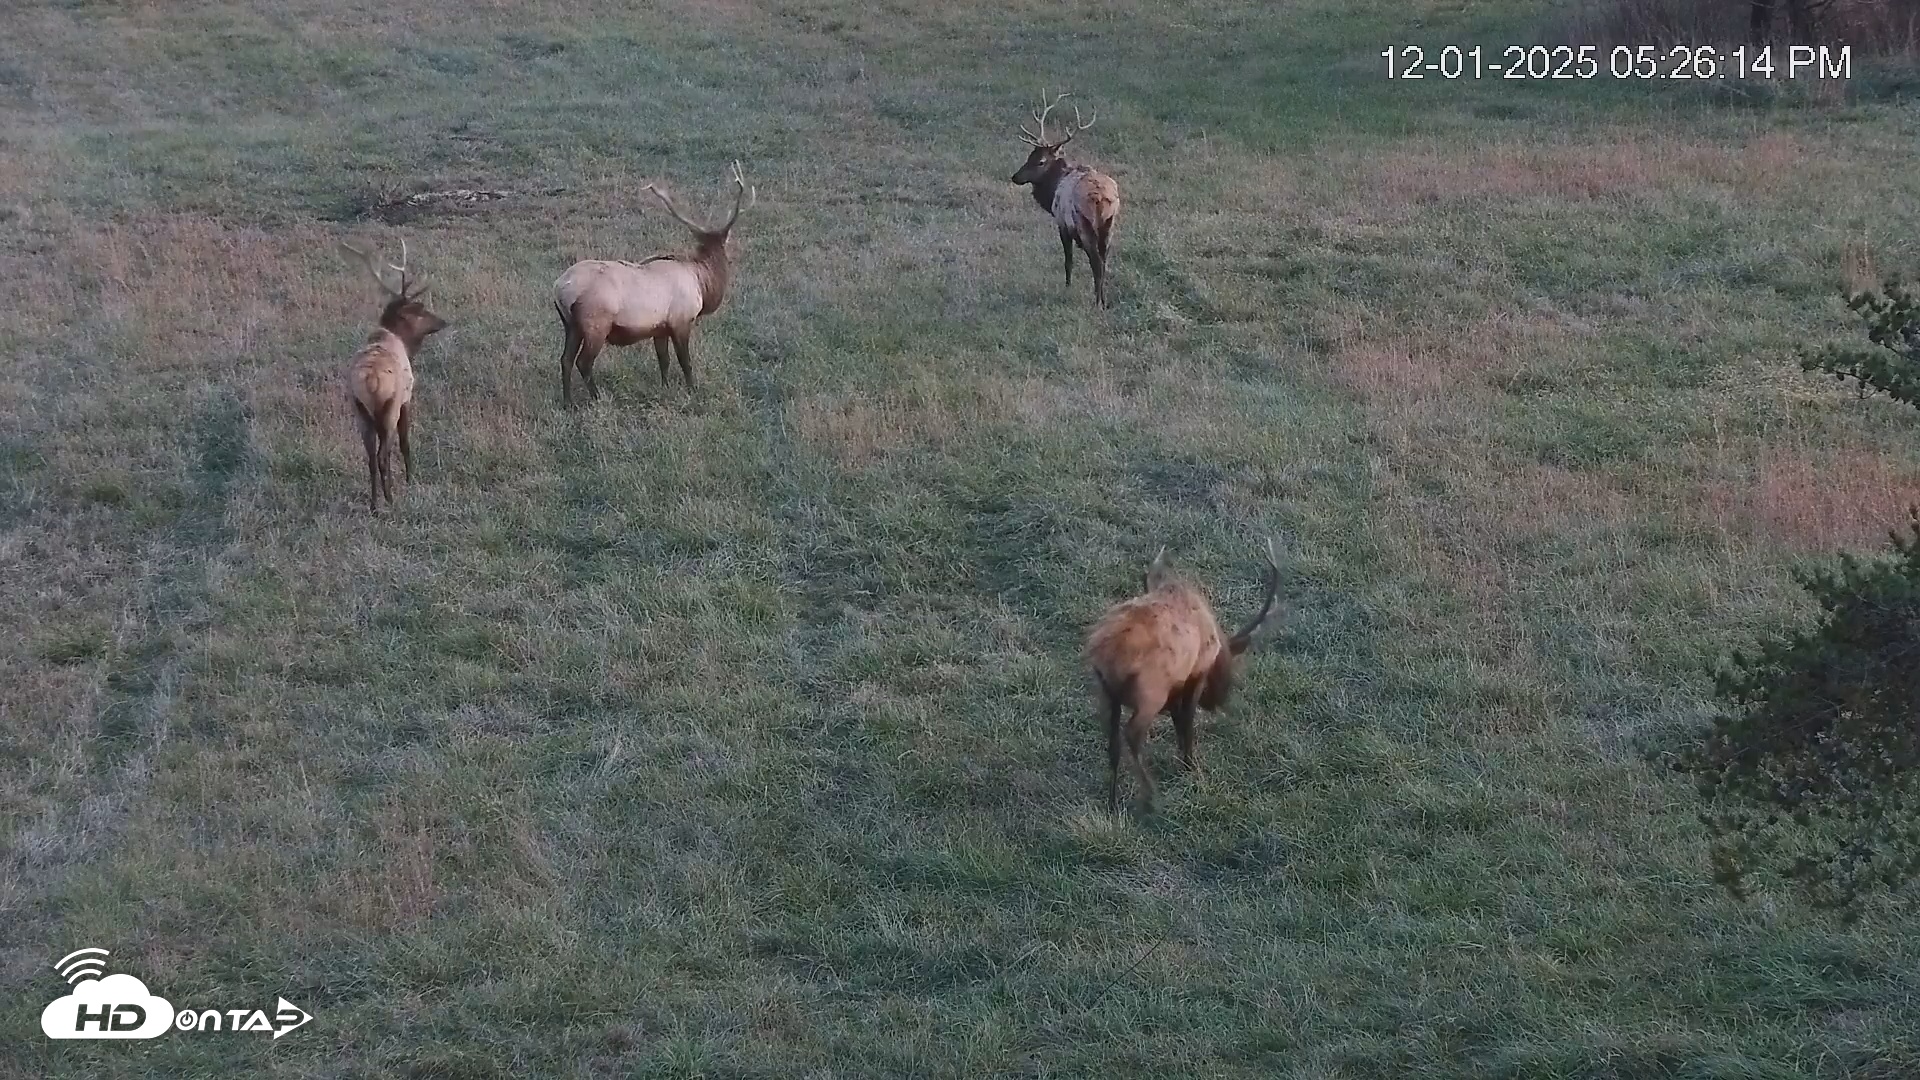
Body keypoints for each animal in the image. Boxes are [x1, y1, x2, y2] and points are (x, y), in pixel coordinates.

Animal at [340, 238, 447, 514]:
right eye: (421, 310)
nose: (443, 321)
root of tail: (369, 381)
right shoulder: (406, 399)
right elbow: (405, 442)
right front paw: (410, 479)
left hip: (359, 410)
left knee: (369, 456)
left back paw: (374, 503)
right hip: (389, 408)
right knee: (381, 455)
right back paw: (389, 499)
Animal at [551, 161, 755, 406]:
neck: (701, 284)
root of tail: (560, 288)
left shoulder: (660, 328)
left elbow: (663, 360)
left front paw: (665, 387)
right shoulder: (681, 320)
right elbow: (685, 361)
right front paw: (692, 390)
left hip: (570, 324)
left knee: (565, 359)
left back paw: (568, 403)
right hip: (595, 322)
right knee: (584, 362)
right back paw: (598, 397)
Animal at [1010, 91, 1121, 308]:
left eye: (1040, 161)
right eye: (1029, 155)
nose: (1015, 177)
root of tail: (1101, 198)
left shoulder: (1062, 223)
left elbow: (1068, 260)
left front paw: (1067, 287)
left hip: (1084, 223)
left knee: (1096, 262)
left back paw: (1097, 303)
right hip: (1109, 225)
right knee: (1104, 261)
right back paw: (1103, 300)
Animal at [1084, 538, 1283, 815]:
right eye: (1230, 670)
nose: (1217, 701)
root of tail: (1108, 654)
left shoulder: (1175, 685)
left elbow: (1178, 719)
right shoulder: (1195, 674)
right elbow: (1187, 721)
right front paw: (1190, 765)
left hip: (1105, 691)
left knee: (1112, 742)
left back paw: (1113, 801)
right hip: (1149, 692)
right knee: (1132, 734)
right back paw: (1150, 795)